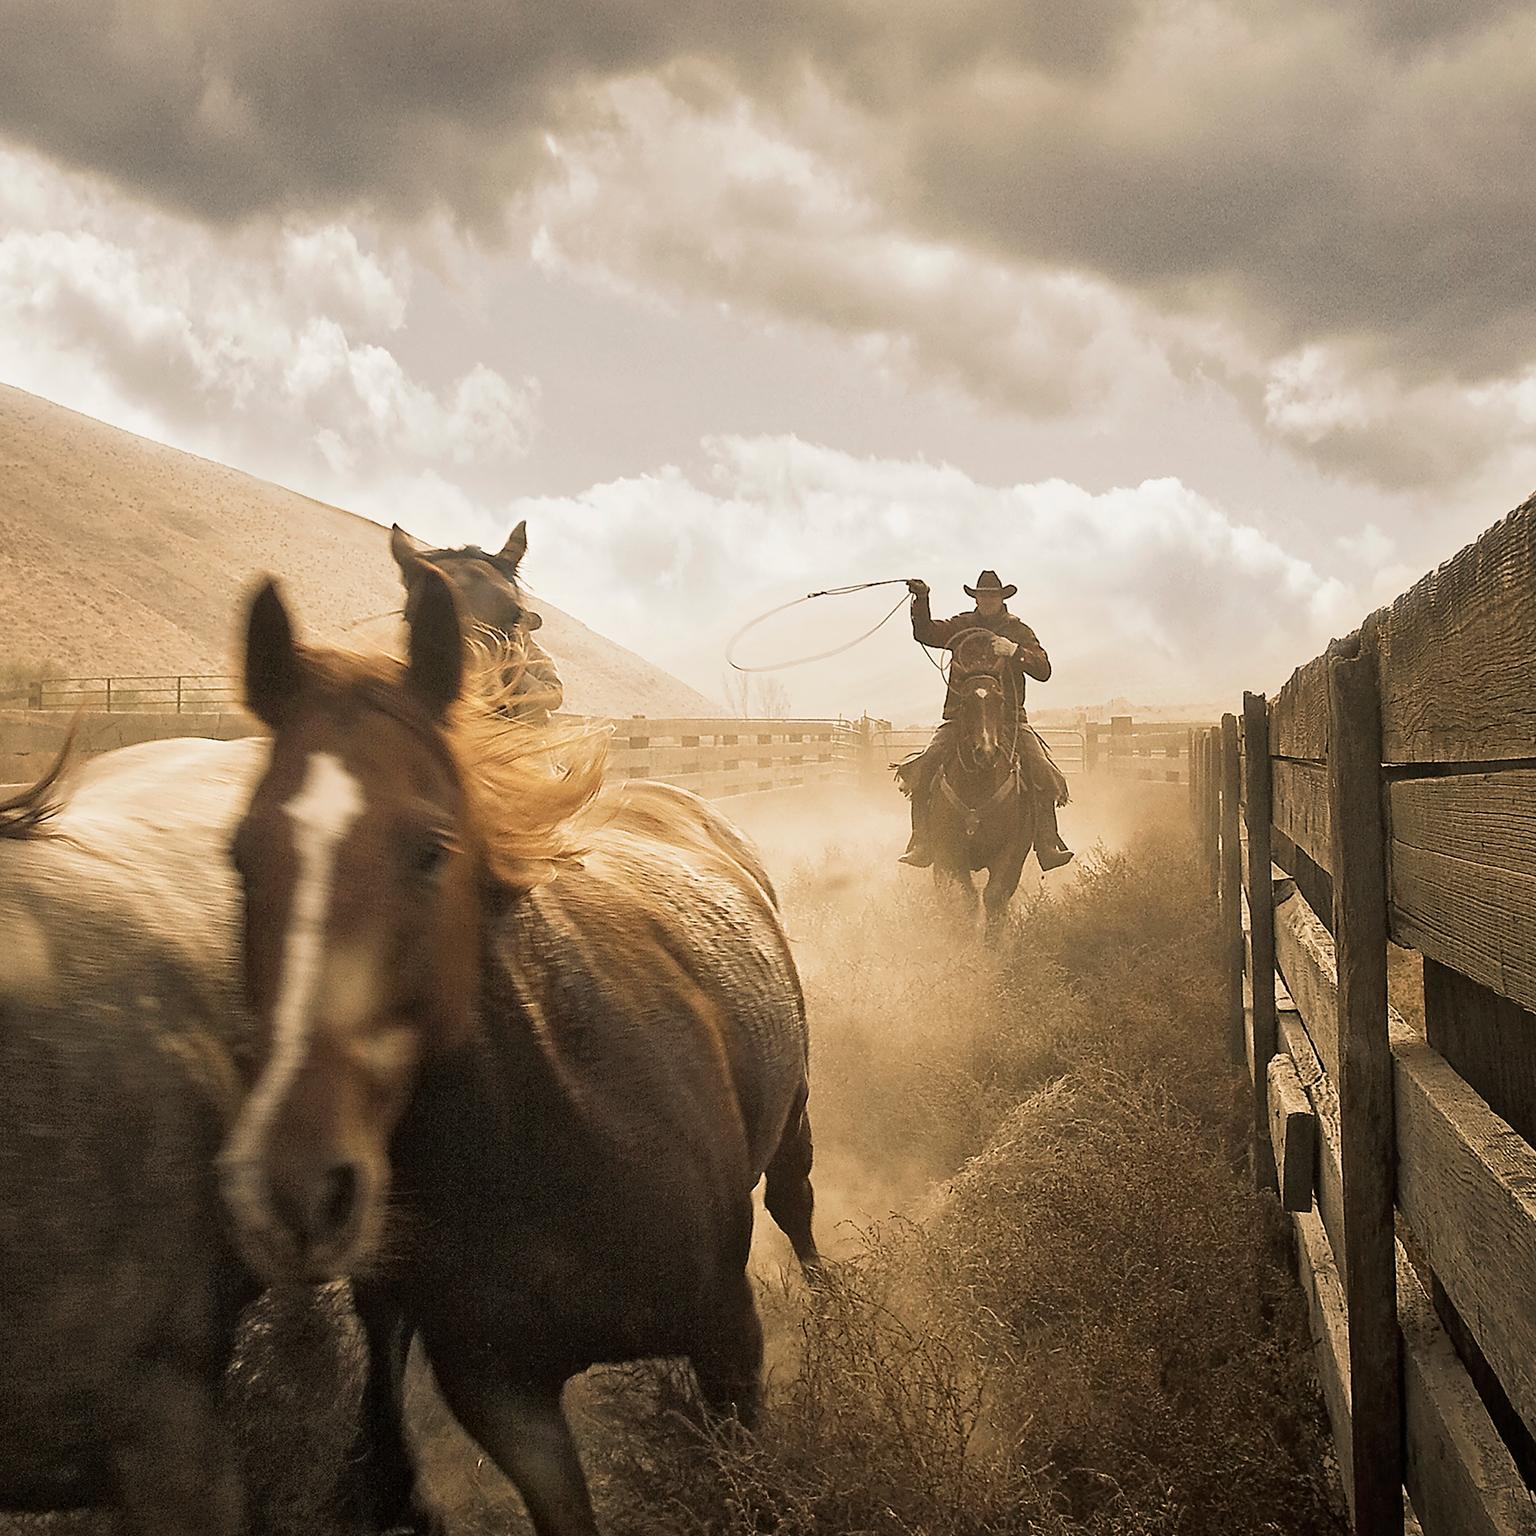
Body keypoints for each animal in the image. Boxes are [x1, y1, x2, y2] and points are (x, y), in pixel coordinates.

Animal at [221, 565, 823, 1536]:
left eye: (433, 849)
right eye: (240, 856)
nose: (292, 1185)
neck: (549, 1128)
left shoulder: (727, 1338)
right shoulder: (503, 1398)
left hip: (795, 1114)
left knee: (797, 1207)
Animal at [921, 626, 1032, 933]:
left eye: (1000, 699)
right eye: (965, 701)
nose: (986, 752)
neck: (979, 786)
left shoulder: (1010, 853)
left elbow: (994, 896)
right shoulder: (951, 853)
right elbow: (967, 897)